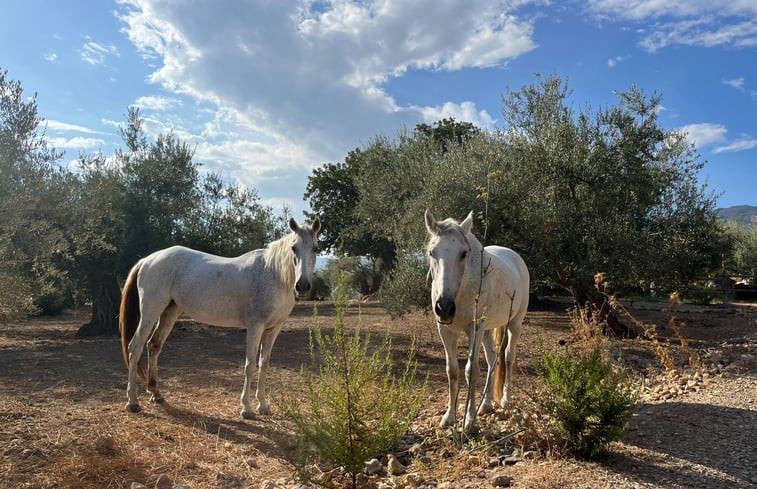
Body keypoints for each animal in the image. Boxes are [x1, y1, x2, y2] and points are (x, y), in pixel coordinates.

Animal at [119, 219, 320, 418]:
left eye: (316, 248)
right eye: (294, 248)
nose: (302, 286)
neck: (273, 274)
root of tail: (148, 259)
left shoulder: (273, 329)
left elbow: (264, 364)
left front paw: (263, 405)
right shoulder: (255, 327)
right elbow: (250, 365)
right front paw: (246, 408)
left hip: (170, 311)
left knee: (154, 345)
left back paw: (156, 394)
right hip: (150, 313)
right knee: (134, 348)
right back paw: (133, 402)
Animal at [422, 208, 528, 428]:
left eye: (463, 253)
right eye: (431, 252)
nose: (444, 307)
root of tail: (515, 257)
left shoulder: (474, 329)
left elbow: (471, 371)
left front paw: (469, 420)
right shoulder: (445, 331)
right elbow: (452, 371)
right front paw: (449, 416)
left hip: (514, 325)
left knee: (508, 357)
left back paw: (506, 400)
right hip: (487, 331)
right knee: (492, 360)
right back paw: (486, 404)